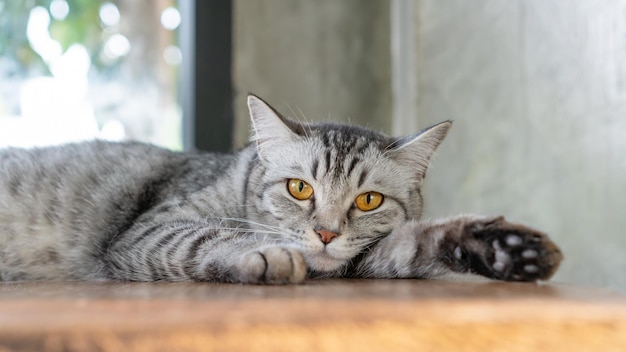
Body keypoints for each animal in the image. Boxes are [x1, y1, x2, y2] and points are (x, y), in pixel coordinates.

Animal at [0, 94, 560, 284]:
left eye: (369, 200)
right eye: (298, 188)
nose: (327, 234)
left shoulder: (364, 259)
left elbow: (415, 242)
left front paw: (503, 248)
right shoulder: (148, 230)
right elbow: (206, 238)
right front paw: (265, 253)